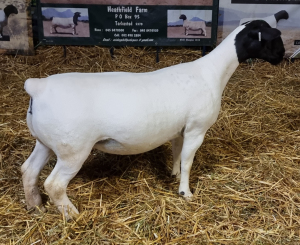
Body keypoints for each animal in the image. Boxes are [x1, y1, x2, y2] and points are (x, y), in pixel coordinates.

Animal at [22, 19, 284, 218]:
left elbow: (177, 153)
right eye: (272, 39)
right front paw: (185, 192)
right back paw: (72, 214)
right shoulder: (196, 129)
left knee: (28, 170)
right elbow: (188, 161)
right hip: (73, 149)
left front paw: (174, 174)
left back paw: (35, 206)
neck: (212, 72)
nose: (281, 56)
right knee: (54, 184)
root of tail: (38, 88)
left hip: (45, 142)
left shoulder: (180, 130)